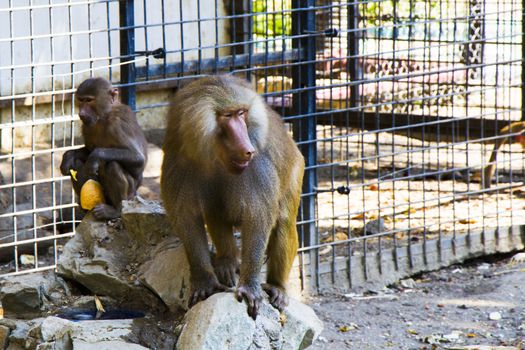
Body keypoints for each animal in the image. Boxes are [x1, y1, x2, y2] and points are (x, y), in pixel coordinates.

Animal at [60, 78, 148, 220]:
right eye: (81, 100)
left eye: (89, 100)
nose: (81, 113)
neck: (103, 116)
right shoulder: (87, 126)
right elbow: (87, 151)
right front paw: (67, 156)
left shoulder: (117, 125)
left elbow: (138, 158)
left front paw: (97, 156)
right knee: (76, 164)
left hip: (130, 195)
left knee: (112, 165)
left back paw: (116, 210)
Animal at [162, 75, 304, 318]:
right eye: (227, 116)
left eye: (242, 113)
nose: (247, 149)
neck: (215, 156)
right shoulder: (178, 161)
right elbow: (187, 219)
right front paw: (204, 281)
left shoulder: (257, 166)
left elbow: (258, 219)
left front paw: (249, 287)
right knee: (215, 212)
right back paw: (227, 261)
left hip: (296, 170)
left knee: (283, 221)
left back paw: (278, 287)